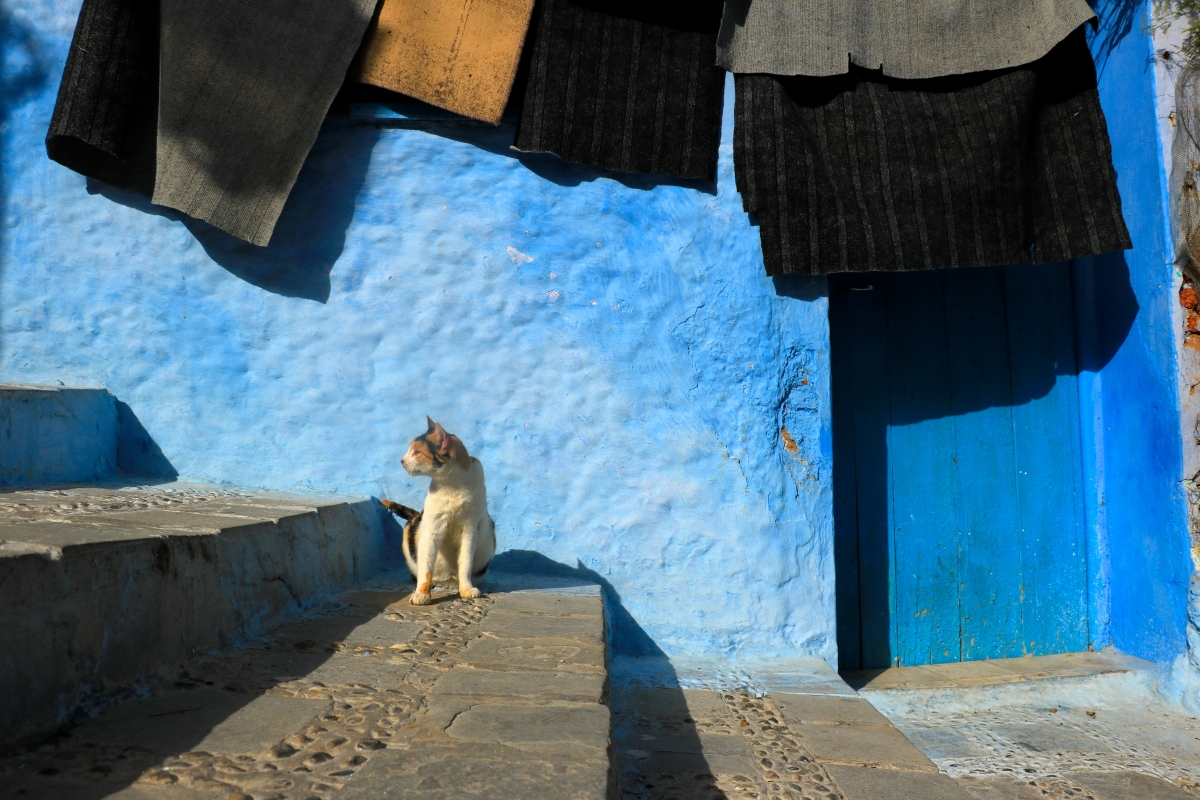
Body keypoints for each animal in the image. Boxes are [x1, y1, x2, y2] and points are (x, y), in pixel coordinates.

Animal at [384, 419, 496, 606]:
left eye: (417, 452)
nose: (402, 460)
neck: (451, 485)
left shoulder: (470, 529)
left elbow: (465, 561)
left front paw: (466, 589)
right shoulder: (431, 529)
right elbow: (426, 567)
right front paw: (422, 593)